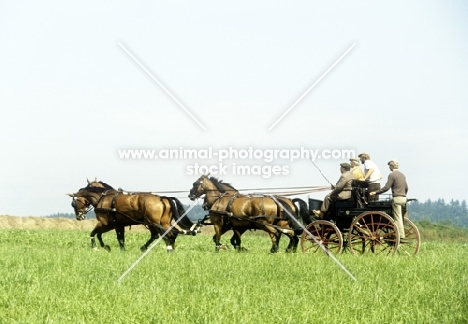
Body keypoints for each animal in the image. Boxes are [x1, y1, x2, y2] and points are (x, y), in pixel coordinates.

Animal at [69, 181, 197, 252]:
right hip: (162, 222)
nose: (79, 217)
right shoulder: (117, 225)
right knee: (171, 234)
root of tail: (162, 198)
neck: (103, 198)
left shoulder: (106, 223)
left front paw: (98, 247)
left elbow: (94, 233)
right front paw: (115, 249)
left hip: (154, 223)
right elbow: (118, 238)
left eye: (73, 203)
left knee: (166, 235)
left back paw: (168, 249)